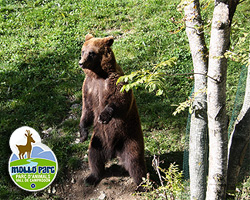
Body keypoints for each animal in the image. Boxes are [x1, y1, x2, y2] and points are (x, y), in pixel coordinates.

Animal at [78, 34, 146, 186]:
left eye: (91, 53)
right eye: (82, 51)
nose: (81, 63)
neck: (97, 75)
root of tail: (113, 151)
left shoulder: (114, 82)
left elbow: (120, 100)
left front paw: (103, 116)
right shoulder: (88, 88)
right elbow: (86, 110)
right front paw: (83, 133)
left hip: (129, 137)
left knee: (135, 161)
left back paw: (141, 184)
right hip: (99, 139)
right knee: (94, 156)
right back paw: (92, 177)